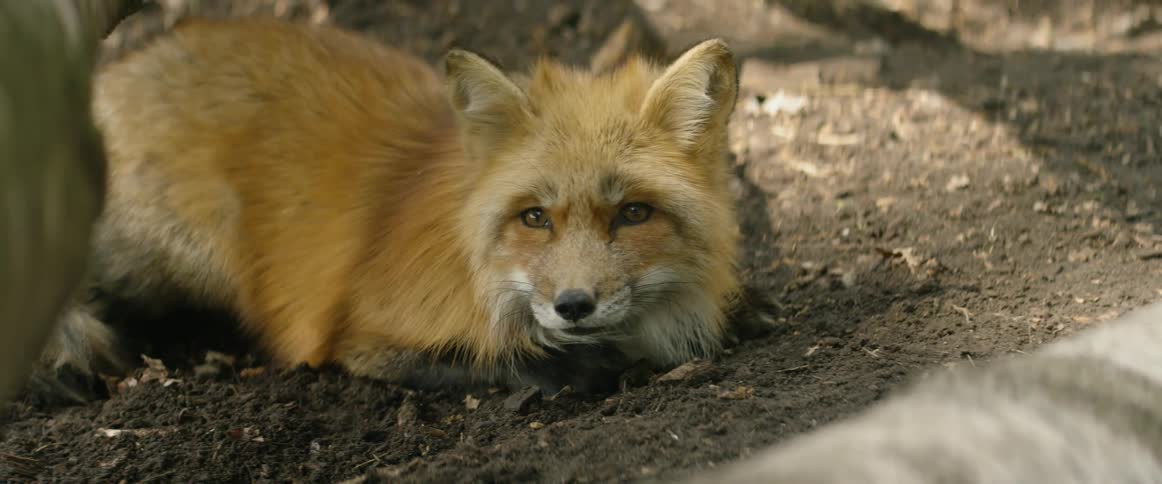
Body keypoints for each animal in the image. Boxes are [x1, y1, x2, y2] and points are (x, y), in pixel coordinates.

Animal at [34, 16, 743, 398]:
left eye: (633, 214)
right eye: (535, 217)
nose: (574, 304)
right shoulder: (361, 336)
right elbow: (500, 360)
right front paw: (586, 363)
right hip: (173, 256)